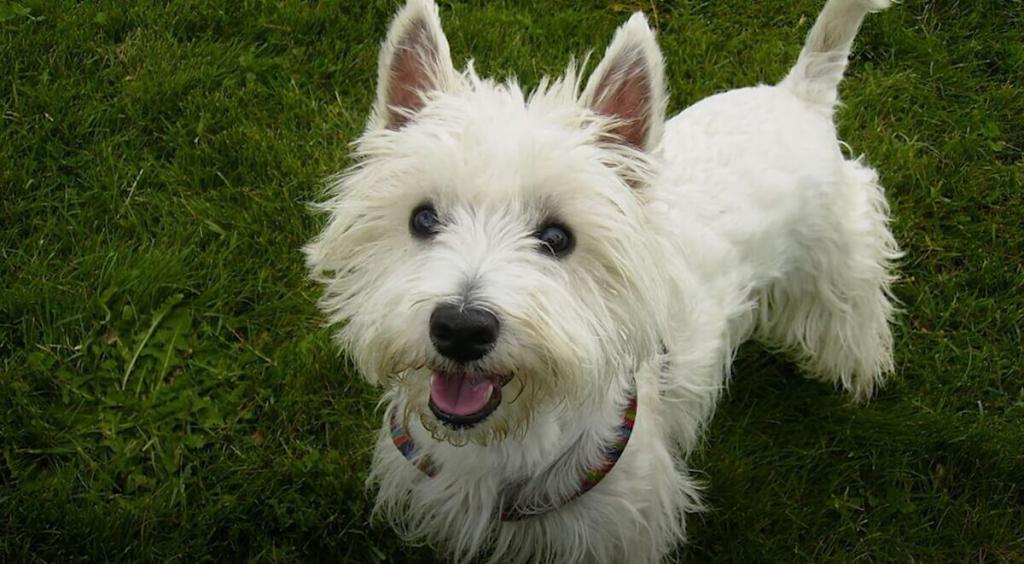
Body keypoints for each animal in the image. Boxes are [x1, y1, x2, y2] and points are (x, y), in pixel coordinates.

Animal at [303, 1, 897, 560]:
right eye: (422, 219)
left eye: (557, 236)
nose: (461, 329)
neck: (501, 444)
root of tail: (799, 93)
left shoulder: (620, 525)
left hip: (836, 258)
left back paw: (862, 375)